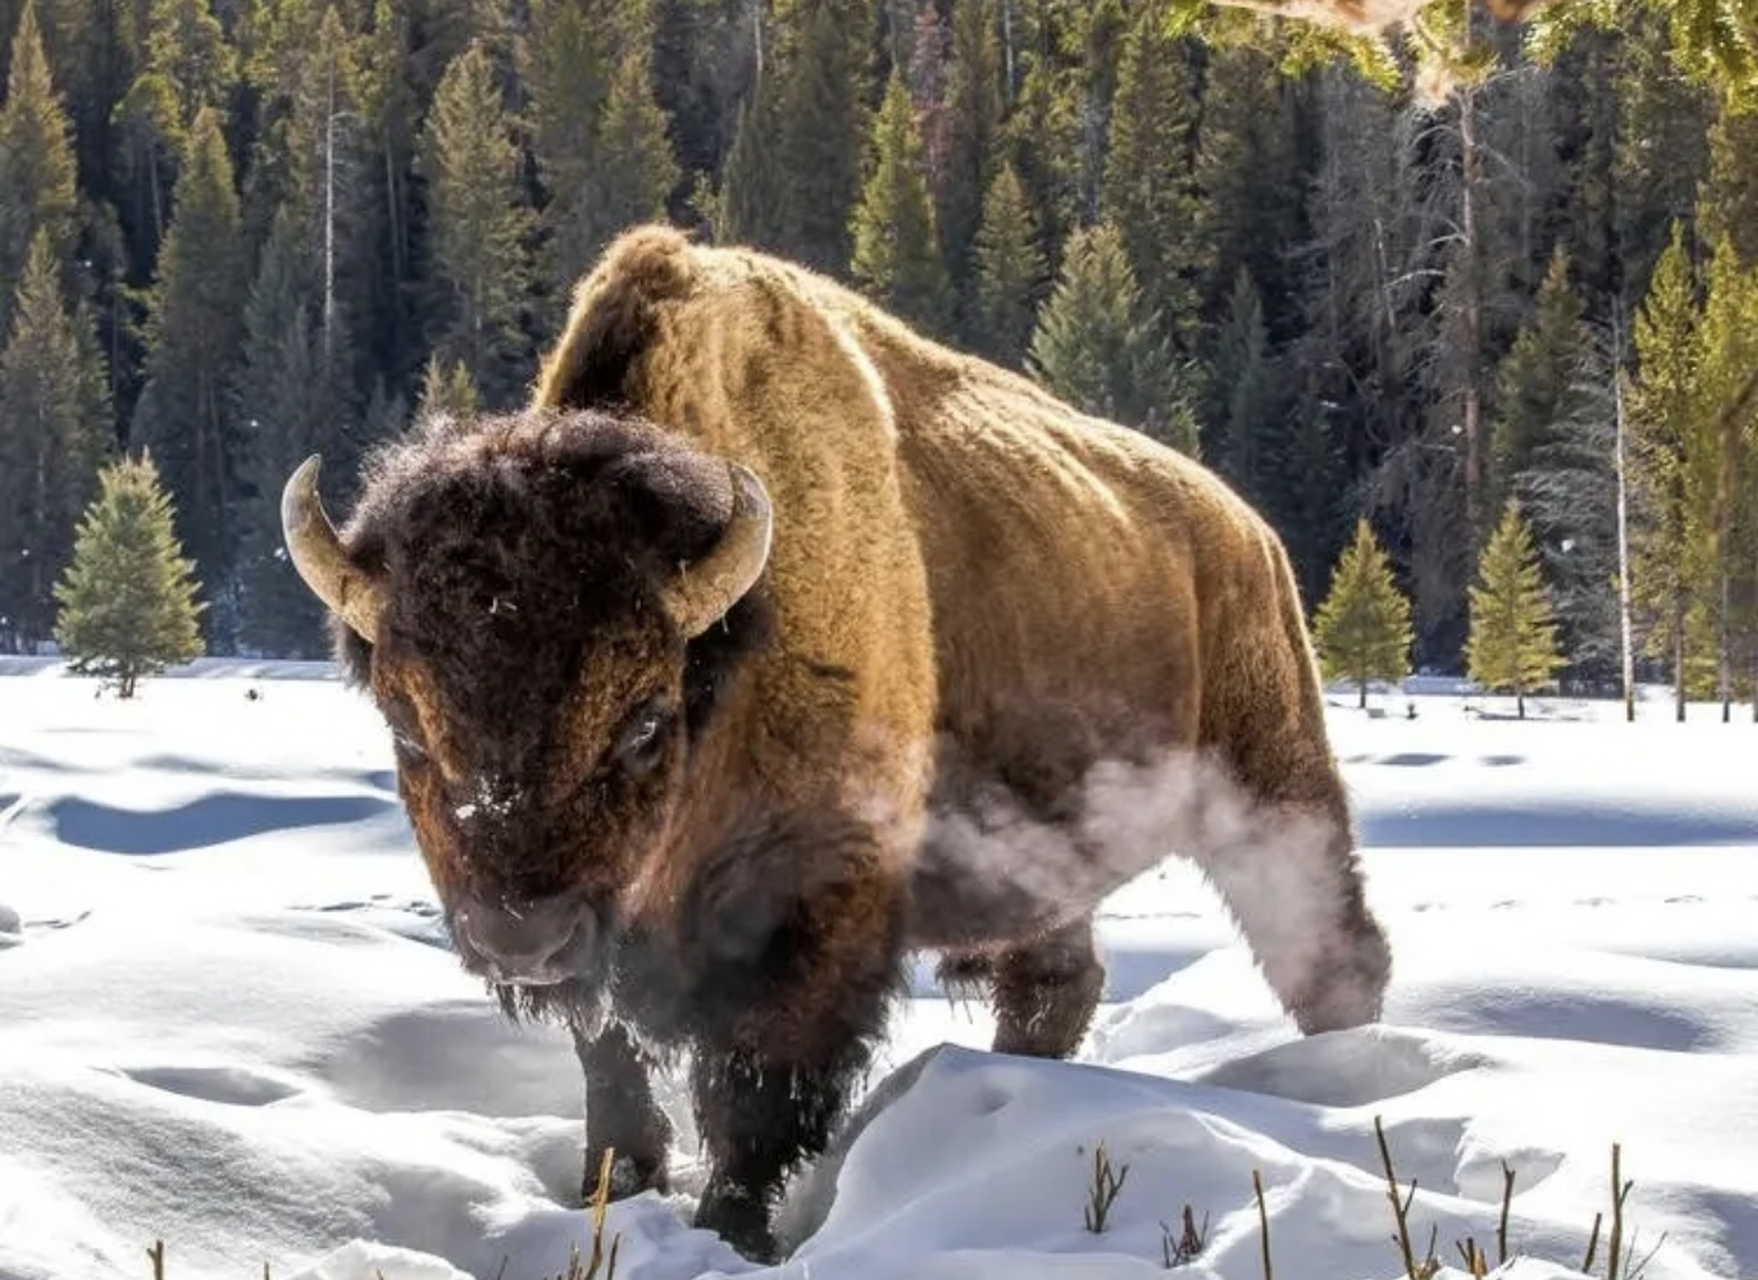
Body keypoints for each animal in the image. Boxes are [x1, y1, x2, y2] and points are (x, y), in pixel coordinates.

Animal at [281, 222, 1392, 1258]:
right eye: (406, 725)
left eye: (643, 718)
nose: (520, 936)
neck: (729, 657)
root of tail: (1247, 533)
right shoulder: (612, 949)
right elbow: (613, 1073)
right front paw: (617, 1195)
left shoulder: (820, 902)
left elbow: (757, 1089)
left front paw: (732, 1231)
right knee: (1057, 979)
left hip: (1275, 780)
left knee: (1330, 950)